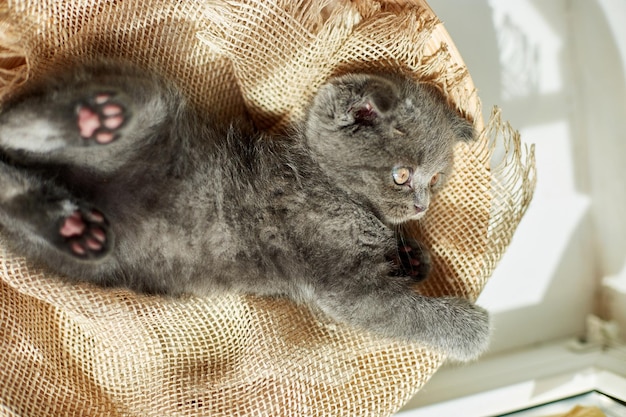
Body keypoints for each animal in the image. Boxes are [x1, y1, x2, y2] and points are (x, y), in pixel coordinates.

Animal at [0, 61, 488, 360]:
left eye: (436, 180)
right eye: (402, 175)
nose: (422, 204)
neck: (335, 187)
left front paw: (414, 258)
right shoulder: (345, 283)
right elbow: (408, 314)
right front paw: (471, 330)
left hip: (84, 256)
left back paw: (71, 224)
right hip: (151, 102)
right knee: (13, 127)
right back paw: (88, 121)